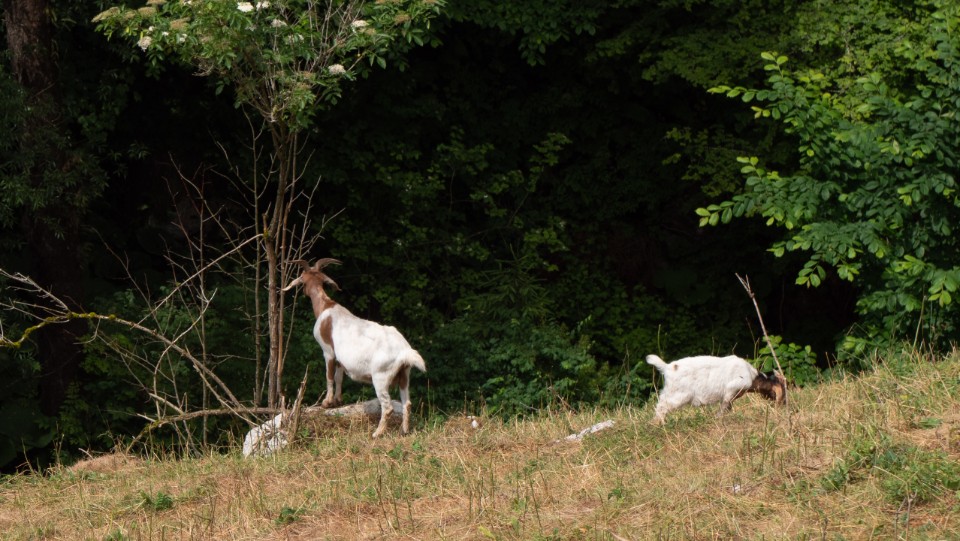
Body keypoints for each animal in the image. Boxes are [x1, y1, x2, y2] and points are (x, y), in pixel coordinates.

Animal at [283, 258, 427, 437]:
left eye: (302, 279)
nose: (303, 292)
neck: (326, 306)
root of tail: (405, 351)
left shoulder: (328, 351)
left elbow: (329, 376)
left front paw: (326, 402)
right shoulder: (340, 358)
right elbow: (339, 377)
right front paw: (338, 400)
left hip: (381, 377)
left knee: (387, 408)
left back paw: (377, 434)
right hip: (404, 375)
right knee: (407, 403)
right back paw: (404, 431)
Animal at [645, 354, 785, 424]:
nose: (782, 406)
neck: (752, 375)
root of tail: (667, 367)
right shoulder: (731, 389)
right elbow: (724, 406)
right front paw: (718, 418)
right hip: (678, 395)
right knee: (661, 407)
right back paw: (659, 424)